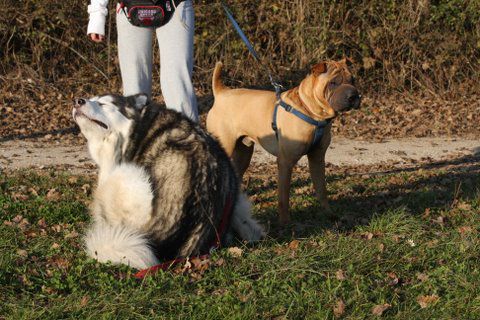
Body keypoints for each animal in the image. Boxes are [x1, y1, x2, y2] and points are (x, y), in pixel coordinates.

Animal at [206, 60, 360, 225]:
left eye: (352, 80)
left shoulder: (317, 158)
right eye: (333, 82)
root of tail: (221, 93)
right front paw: (285, 222)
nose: (353, 96)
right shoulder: (285, 162)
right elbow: (284, 197)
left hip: (243, 154)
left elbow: (321, 189)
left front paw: (329, 213)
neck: (311, 111)